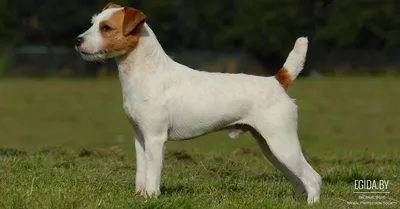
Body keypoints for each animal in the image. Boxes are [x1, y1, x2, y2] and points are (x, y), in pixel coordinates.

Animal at [76, 2, 322, 204]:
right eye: (93, 22)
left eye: (106, 28)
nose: (77, 40)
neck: (147, 72)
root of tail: (277, 81)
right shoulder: (140, 137)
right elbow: (141, 172)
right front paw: (141, 195)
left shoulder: (155, 138)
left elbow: (153, 173)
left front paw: (151, 197)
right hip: (270, 147)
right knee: (298, 179)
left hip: (282, 143)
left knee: (313, 178)